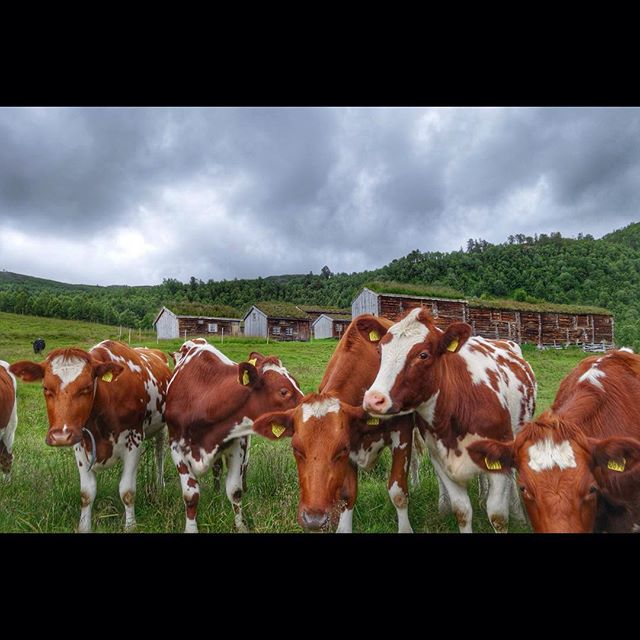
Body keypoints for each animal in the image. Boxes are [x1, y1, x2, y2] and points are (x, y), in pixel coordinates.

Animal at [10, 342, 170, 532]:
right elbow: (87, 493)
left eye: (86, 388)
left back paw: (160, 485)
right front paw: (84, 527)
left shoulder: (134, 440)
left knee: (159, 454)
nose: (61, 436)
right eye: (46, 388)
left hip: (162, 427)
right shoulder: (80, 443)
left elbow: (127, 491)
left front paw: (130, 526)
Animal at [165, 340, 304, 536]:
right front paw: (191, 528)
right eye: (283, 391)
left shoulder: (236, 444)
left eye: (297, 383)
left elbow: (235, 491)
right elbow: (191, 495)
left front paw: (242, 526)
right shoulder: (176, 447)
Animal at [228, 318, 428, 532]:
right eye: (296, 449)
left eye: (341, 448)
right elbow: (347, 495)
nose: (313, 519)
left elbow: (398, 492)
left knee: (416, 459)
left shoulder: (402, 433)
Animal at [360, 308, 536, 532]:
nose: (374, 399)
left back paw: (518, 512)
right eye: (380, 352)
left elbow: (498, 516)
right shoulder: (441, 460)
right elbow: (462, 511)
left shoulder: (498, 459)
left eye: (423, 355)